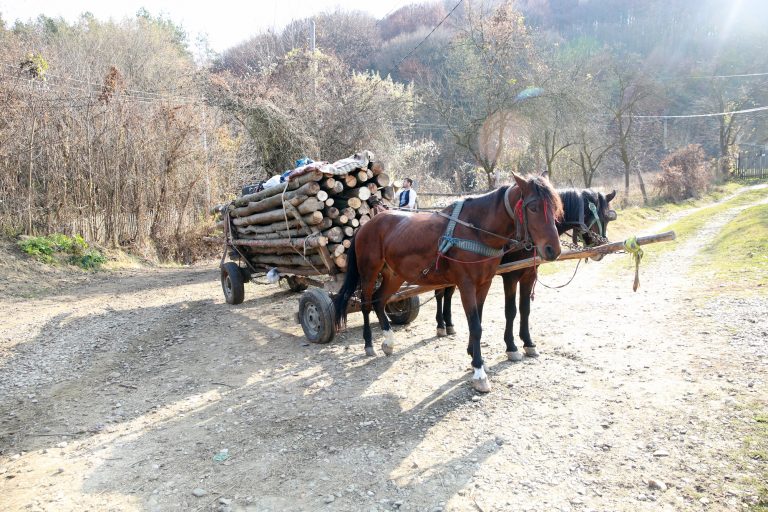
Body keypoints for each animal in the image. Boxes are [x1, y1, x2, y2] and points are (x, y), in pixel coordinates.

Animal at [332, 173, 560, 392]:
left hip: (394, 274)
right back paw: (369, 343)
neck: (476, 231)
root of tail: (366, 225)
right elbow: (476, 325)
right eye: (533, 207)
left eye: (556, 208)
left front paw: (474, 357)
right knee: (366, 303)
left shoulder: (484, 283)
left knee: (380, 301)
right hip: (369, 272)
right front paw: (479, 372)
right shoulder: (467, 284)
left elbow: (479, 320)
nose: (553, 250)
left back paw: (388, 341)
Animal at [432, 187, 616, 360]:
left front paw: (528, 343)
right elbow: (511, 310)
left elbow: (525, 309)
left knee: (448, 294)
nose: (601, 249)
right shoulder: (511, 277)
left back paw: (449, 324)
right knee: (440, 294)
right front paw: (511, 347)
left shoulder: (529, 275)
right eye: (588, 214)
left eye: (607, 218)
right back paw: (441, 325)